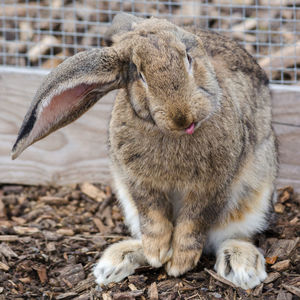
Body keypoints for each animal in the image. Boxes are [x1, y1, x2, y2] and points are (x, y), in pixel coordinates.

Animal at [11, 12, 278, 290]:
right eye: (140, 75)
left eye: (188, 58)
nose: (182, 117)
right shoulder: (138, 185)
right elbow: (153, 218)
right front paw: (157, 253)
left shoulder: (213, 187)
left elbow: (194, 222)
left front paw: (179, 264)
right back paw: (114, 264)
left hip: (255, 194)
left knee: (235, 235)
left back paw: (240, 267)